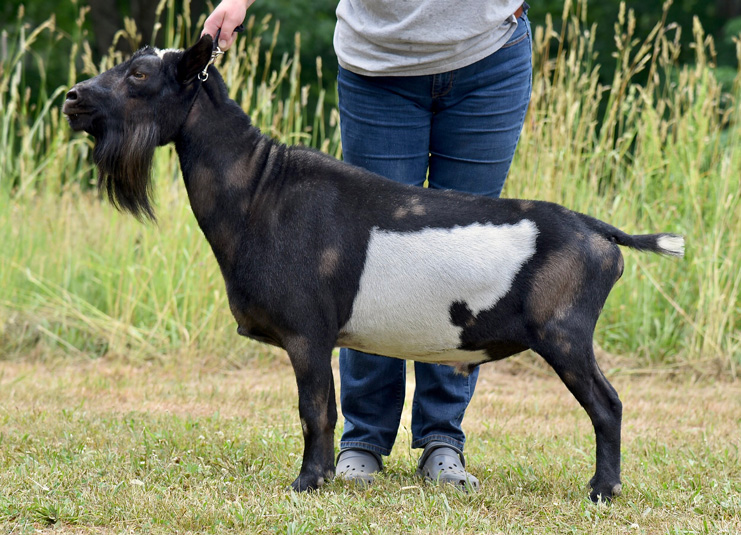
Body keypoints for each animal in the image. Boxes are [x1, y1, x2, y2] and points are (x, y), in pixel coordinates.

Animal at [63, 35, 684, 500]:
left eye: (140, 74)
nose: (72, 98)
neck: (262, 188)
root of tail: (599, 232)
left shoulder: (307, 334)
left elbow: (316, 410)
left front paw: (307, 482)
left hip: (564, 332)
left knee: (607, 405)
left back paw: (603, 489)